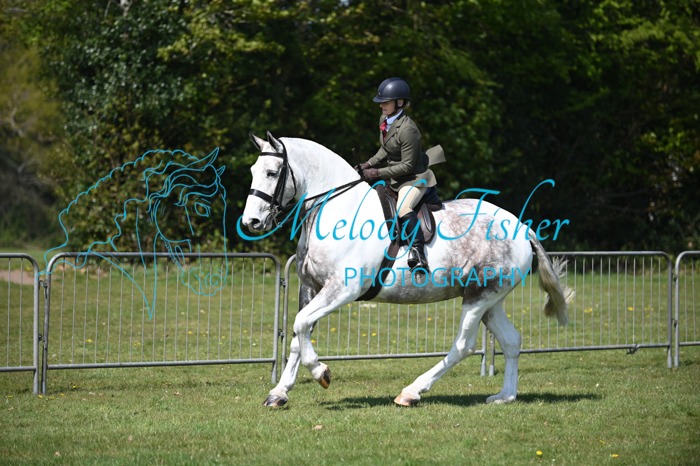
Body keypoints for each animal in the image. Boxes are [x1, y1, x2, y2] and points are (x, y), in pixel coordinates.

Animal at [239, 132, 574, 407]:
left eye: (272, 173)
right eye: (253, 172)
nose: (251, 222)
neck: (335, 208)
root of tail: (522, 227)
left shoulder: (342, 289)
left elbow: (300, 325)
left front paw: (322, 372)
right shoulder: (311, 287)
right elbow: (299, 333)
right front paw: (279, 393)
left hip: (478, 299)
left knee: (463, 346)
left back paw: (411, 392)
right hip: (491, 300)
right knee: (511, 341)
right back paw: (505, 396)